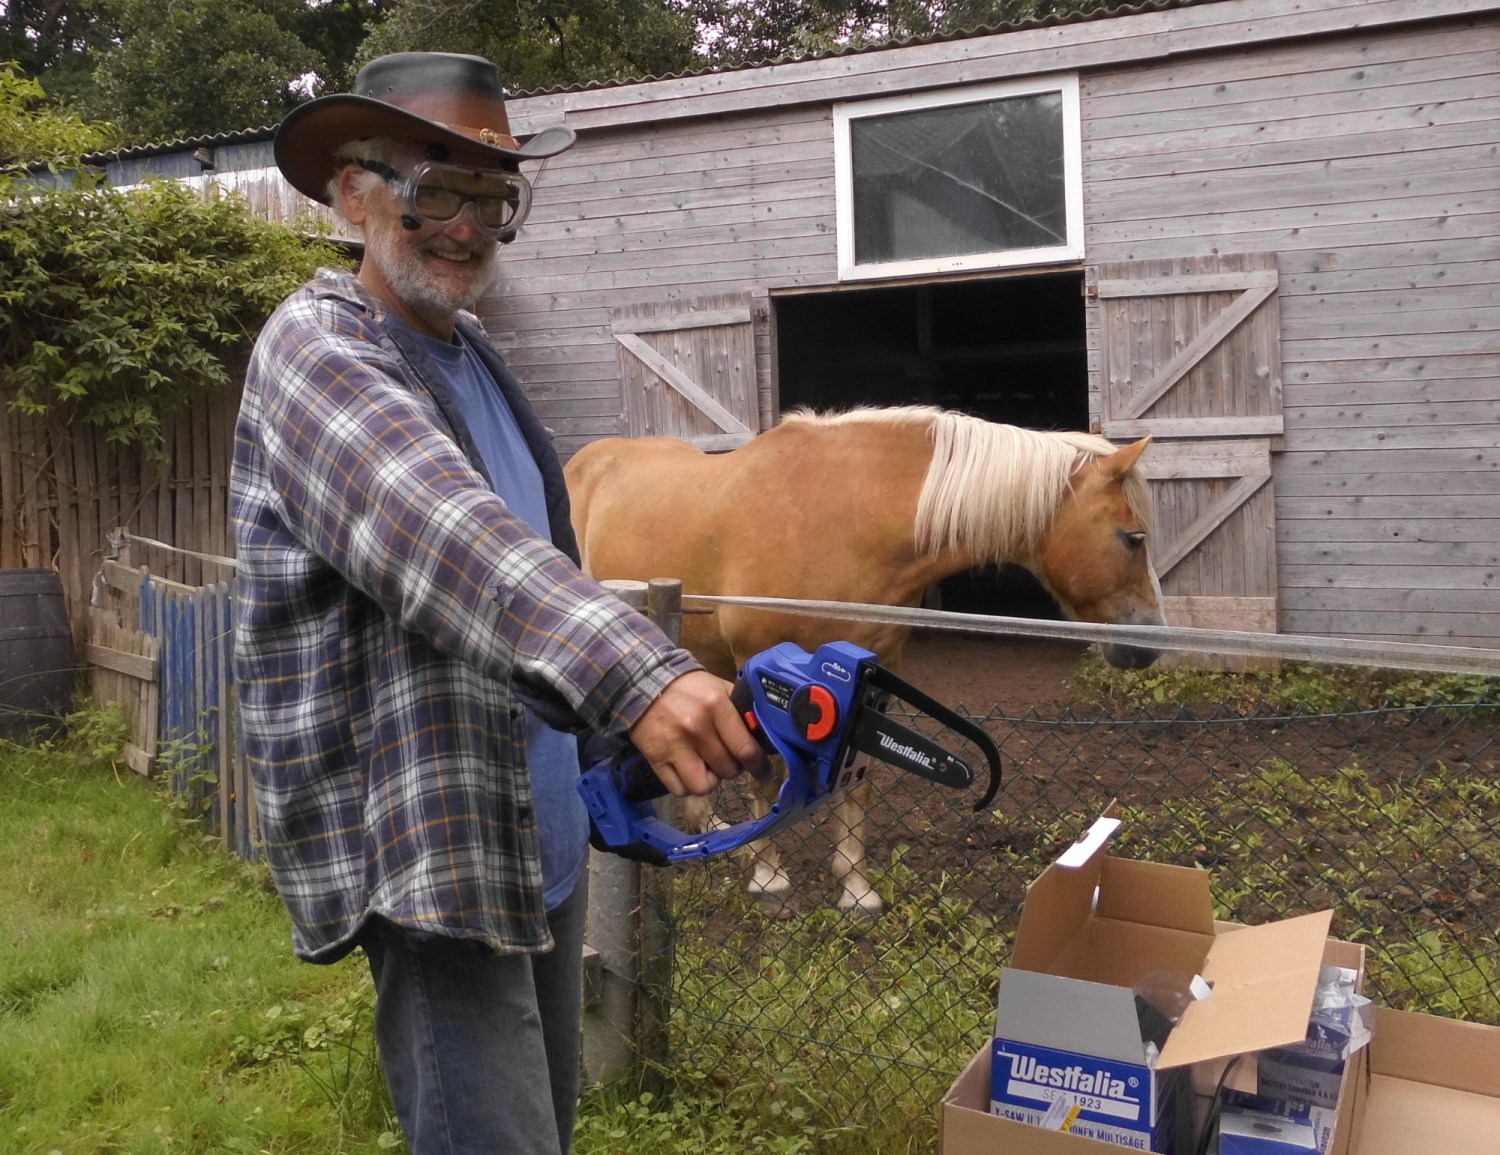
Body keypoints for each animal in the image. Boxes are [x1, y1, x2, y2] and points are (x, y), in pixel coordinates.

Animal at [564, 405, 1165, 916]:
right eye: (1133, 537)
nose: (1151, 642)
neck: (843, 520)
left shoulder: (873, 676)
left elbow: (858, 781)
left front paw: (856, 889)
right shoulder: (758, 667)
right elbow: (764, 779)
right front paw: (769, 880)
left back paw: (701, 820)